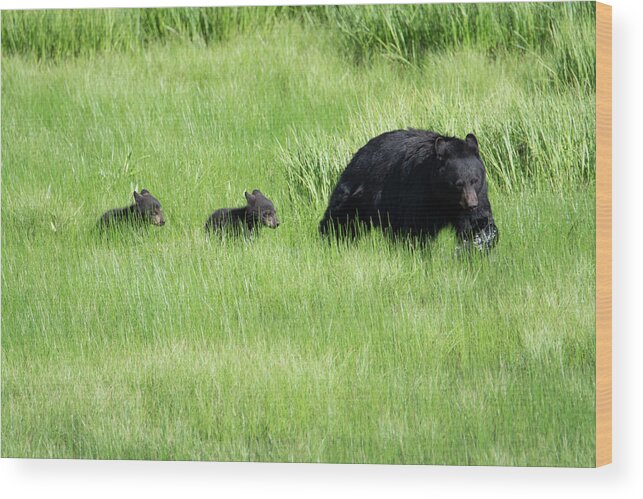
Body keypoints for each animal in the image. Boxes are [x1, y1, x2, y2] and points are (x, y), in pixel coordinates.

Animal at [320, 129, 500, 252]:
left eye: (474, 180)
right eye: (458, 183)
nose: (471, 204)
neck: (441, 195)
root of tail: (359, 152)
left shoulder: (479, 194)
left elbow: (477, 223)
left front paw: (478, 245)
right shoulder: (417, 192)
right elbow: (416, 228)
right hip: (357, 190)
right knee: (342, 218)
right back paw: (332, 238)